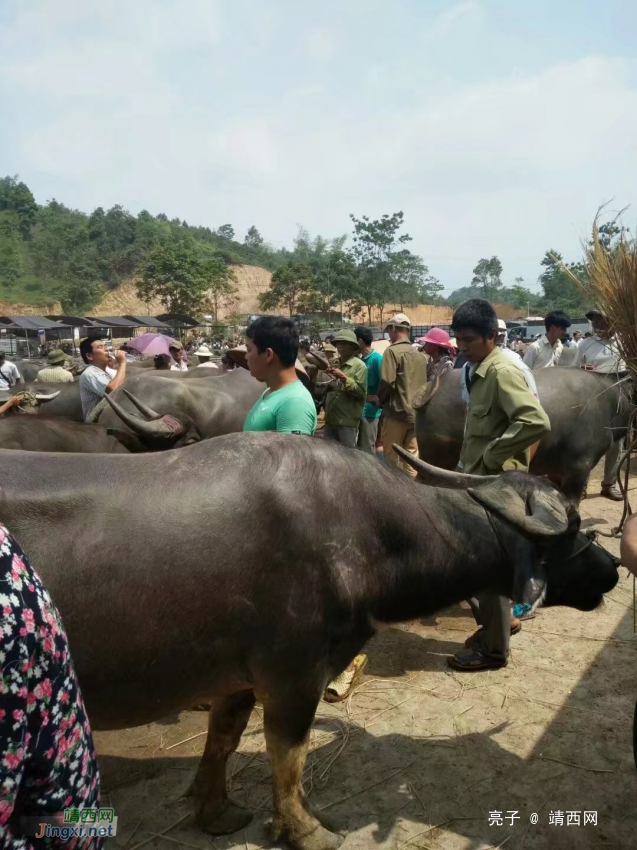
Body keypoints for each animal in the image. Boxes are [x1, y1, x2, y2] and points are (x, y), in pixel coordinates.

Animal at [0, 434, 616, 844]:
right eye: (572, 528)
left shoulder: (237, 678)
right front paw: (306, 829)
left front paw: (216, 811)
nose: (612, 569)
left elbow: (223, 740)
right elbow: (287, 755)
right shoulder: (294, 675)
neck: (369, 534)